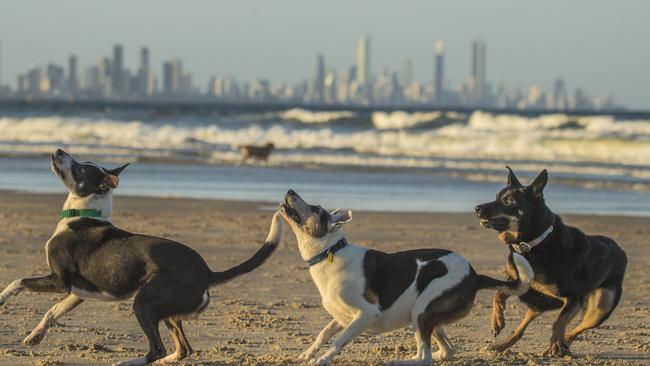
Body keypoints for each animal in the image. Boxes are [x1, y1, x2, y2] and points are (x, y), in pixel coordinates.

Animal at [0, 149, 284, 366]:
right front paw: (35, 337)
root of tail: (207, 273)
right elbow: (52, 311)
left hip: (144, 303)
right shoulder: (76, 292)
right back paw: (165, 361)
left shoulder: (60, 281)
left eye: (80, 169)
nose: (59, 151)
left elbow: (18, 281)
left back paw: (129, 362)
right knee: (183, 349)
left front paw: (2, 298)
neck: (83, 215)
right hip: (168, 313)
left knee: (157, 348)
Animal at [278, 190, 532, 364]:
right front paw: (304, 355)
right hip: (424, 316)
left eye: (315, 209)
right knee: (445, 351)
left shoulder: (366, 314)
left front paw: (320, 360)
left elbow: (338, 341)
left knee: (424, 358)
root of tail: (475, 275)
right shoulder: (342, 318)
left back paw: (397, 361)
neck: (330, 251)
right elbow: (322, 335)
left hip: (422, 310)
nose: (290, 192)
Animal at [474, 167, 624, 356]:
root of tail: (619, 248)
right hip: (540, 304)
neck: (533, 244)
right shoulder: (518, 282)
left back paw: (562, 344)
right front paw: (496, 322)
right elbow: (498, 295)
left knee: (575, 328)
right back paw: (501, 345)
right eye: (496, 197)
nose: (477, 208)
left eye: (508, 201)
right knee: (520, 330)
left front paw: (555, 344)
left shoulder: (573, 298)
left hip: (601, 308)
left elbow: (558, 322)